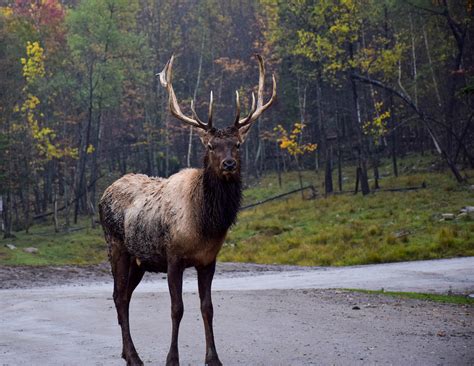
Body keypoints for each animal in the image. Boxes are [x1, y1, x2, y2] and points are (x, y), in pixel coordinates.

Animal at [99, 54, 278, 366]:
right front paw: (172, 359)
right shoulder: (174, 257)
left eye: (237, 144)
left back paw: (126, 352)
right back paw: (134, 357)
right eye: (211, 145)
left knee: (123, 296)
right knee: (119, 296)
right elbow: (177, 308)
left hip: (139, 260)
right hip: (117, 246)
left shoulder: (208, 260)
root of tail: (103, 194)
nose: (229, 164)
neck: (205, 225)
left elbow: (207, 307)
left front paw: (214, 358)